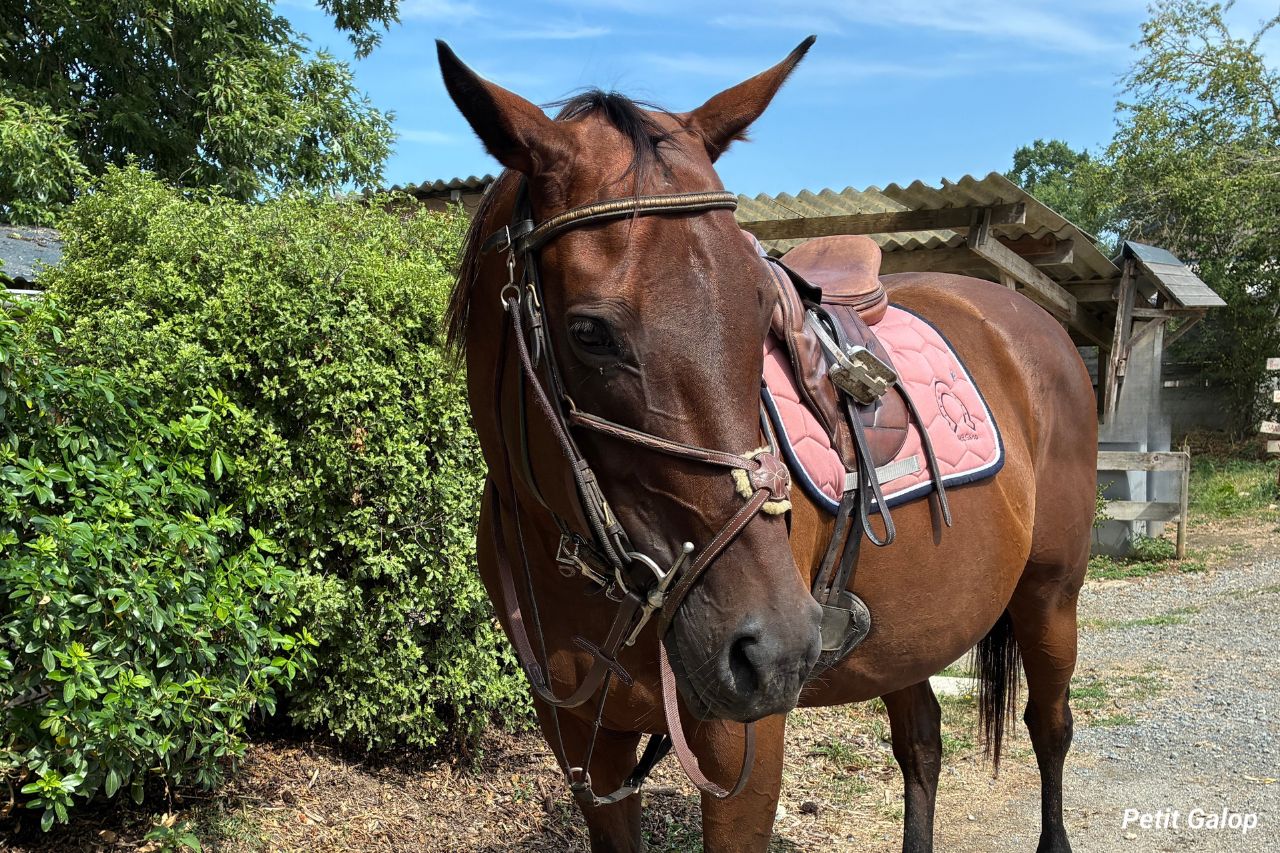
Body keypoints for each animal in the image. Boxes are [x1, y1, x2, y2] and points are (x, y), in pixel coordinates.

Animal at [436, 36, 1096, 853]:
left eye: (760, 309)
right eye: (588, 331)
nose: (775, 645)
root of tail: (1034, 324)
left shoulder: (741, 746)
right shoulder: (586, 748)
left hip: (1051, 595)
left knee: (1050, 725)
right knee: (922, 743)